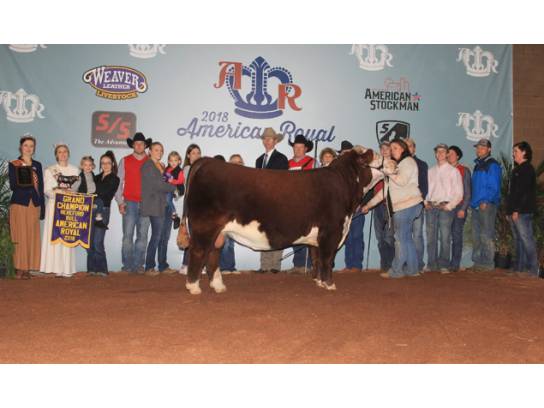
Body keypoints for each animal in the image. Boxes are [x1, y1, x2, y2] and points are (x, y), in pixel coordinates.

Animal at [177, 146, 396, 295]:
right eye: (376, 156)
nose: (394, 162)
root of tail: (207, 161)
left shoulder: (318, 237)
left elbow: (316, 258)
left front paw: (318, 282)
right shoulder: (331, 232)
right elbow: (327, 259)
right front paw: (330, 284)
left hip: (219, 231)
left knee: (213, 254)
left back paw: (218, 285)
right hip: (205, 227)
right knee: (198, 252)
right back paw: (194, 287)